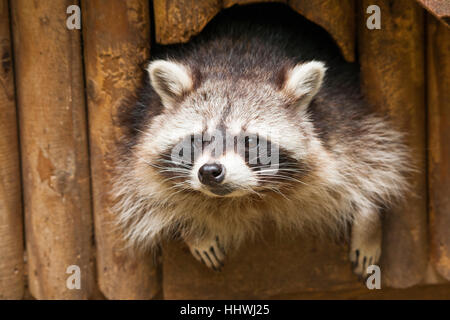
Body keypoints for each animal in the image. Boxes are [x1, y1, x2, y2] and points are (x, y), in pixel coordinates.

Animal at [114, 4, 414, 276]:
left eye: (249, 141)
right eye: (198, 140)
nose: (210, 171)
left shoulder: (342, 115)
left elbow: (373, 159)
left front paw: (368, 221)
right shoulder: (140, 128)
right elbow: (147, 191)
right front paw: (194, 228)